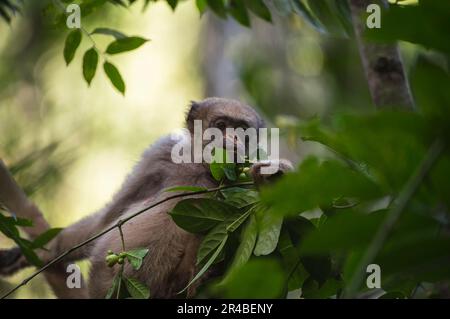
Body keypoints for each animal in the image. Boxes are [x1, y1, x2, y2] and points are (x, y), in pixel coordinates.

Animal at [0, 98, 294, 300]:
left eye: (242, 131)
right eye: (221, 126)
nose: (233, 139)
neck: (203, 170)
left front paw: (272, 180)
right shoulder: (160, 153)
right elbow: (104, 222)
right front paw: (31, 253)